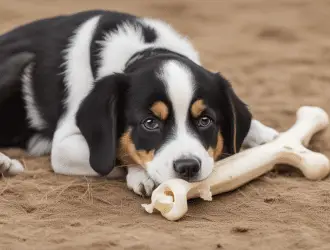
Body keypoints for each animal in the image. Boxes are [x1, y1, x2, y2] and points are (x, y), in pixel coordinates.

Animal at [0, 9, 278, 196]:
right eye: (150, 123)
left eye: (205, 121)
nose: (188, 167)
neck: (147, 46)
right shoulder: (65, 147)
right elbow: (114, 154)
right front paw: (141, 176)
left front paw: (269, 138)